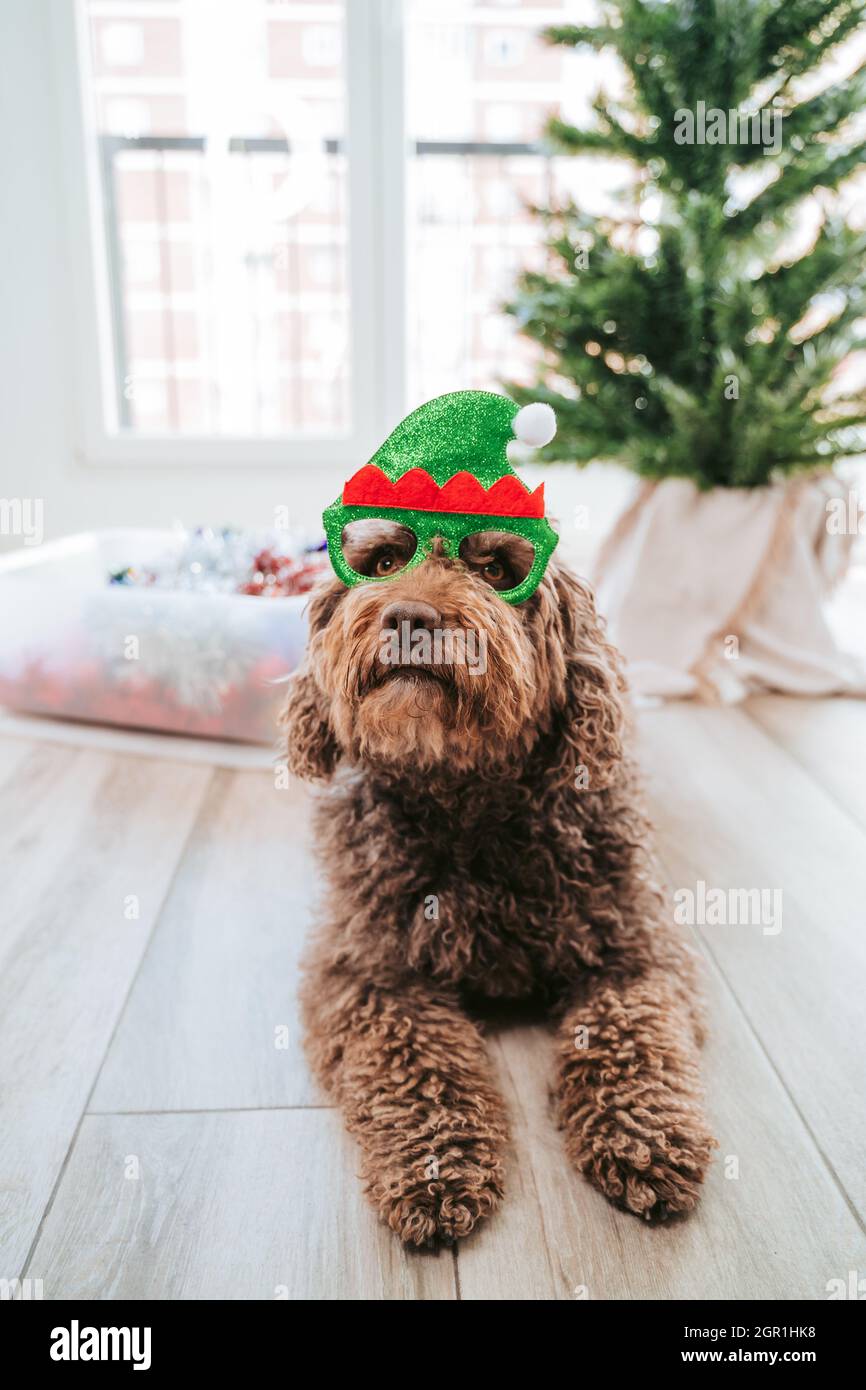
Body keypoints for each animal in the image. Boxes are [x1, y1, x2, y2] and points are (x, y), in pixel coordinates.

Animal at [280, 533, 717, 1251]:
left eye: (494, 569)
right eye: (382, 562)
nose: (409, 618)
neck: (468, 807)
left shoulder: (636, 953)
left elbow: (632, 1035)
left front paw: (643, 1136)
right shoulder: (368, 973)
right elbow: (415, 1057)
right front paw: (433, 1166)